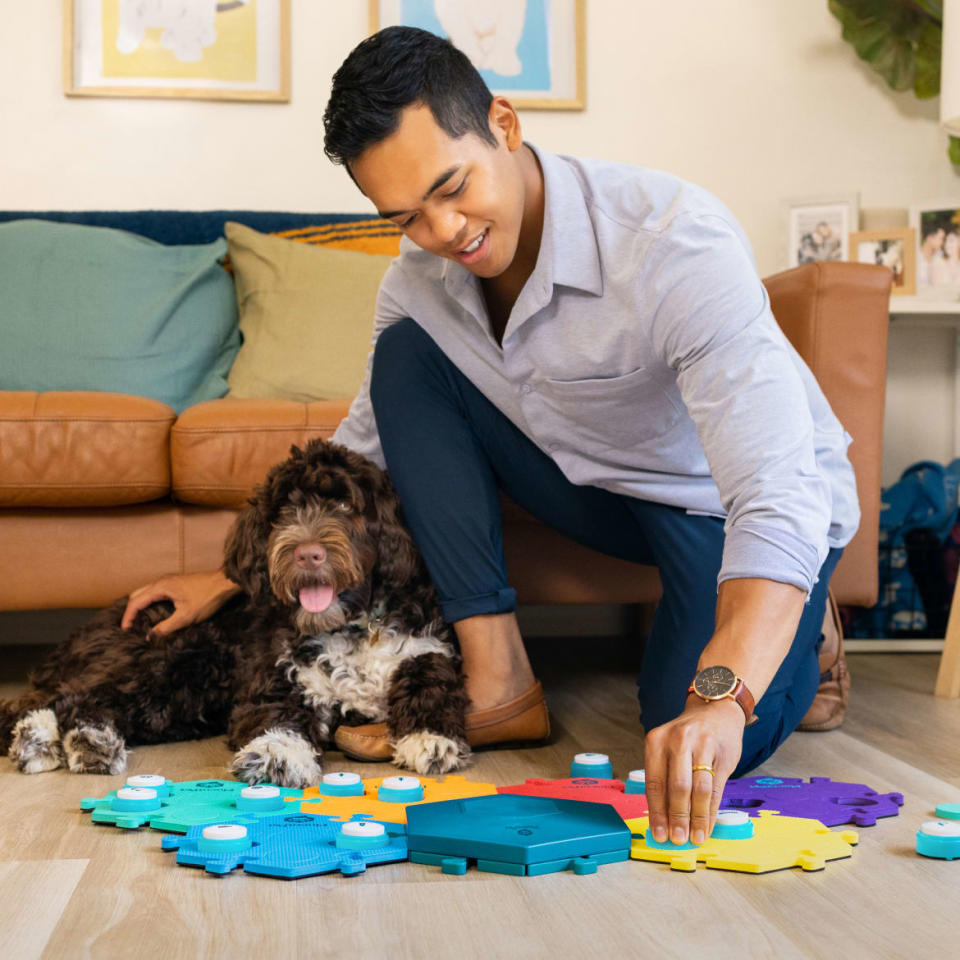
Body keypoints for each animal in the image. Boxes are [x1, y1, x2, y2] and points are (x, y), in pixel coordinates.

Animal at [0, 442, 472, 788]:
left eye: (345, 507)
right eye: (283, 512)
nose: (307, 553)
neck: (351, 625)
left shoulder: (427, 649)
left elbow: (431, 685)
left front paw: (430, 739)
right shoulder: (276, 679)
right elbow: (277, 717)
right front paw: (278, 755)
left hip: (184, 700)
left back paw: (60, 740)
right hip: (173, 657)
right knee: (70, 697)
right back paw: (64, 738)